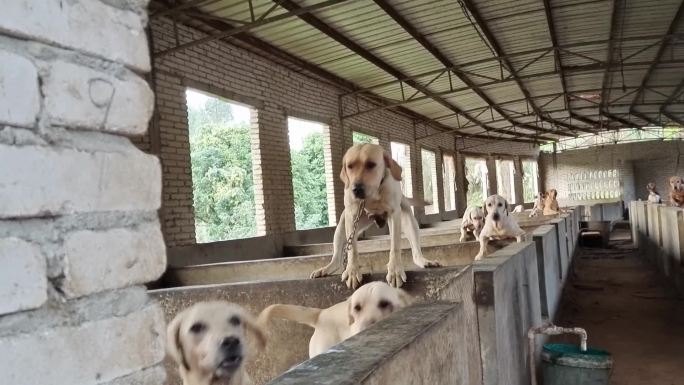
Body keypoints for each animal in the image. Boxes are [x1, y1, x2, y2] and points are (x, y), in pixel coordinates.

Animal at [308, 144, 438, 288]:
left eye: (371, 164)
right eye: (350, 166)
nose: (356, 189)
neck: (373, 194)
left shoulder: (394, 214)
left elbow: (395, 246)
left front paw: (395, 270)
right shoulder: (351, 216)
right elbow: (352, 249)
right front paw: (352, 270)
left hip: (408, 220)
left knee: (415, 249)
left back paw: (423, 260)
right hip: (343, 226)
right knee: (337, 256)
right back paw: (327, 269)